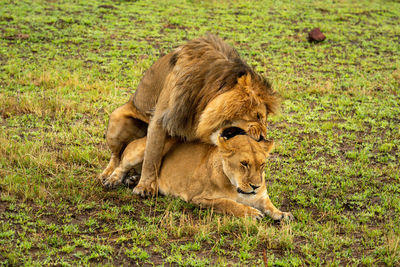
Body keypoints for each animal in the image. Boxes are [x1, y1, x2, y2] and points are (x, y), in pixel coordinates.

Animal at [99, 34, 280, 198]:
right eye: (258, 116)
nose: (263, 137)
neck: (204, 94)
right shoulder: (161, 118)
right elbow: (152, 156)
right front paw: (144, 187)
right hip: (117, 120)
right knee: (117, 156)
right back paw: (110, 176)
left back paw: (132, 178)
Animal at [101, 129, 292, 221]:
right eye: (244, 164)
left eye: (262, 164)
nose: (255, 186)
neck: (236, 186)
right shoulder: (199, 198)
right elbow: (228, 203)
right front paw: (251, 213)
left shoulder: (261, 196)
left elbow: (269, 205)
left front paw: (282, 214)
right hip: (143, 151)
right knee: (121, 167)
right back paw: (112, 181)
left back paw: (133, 180)